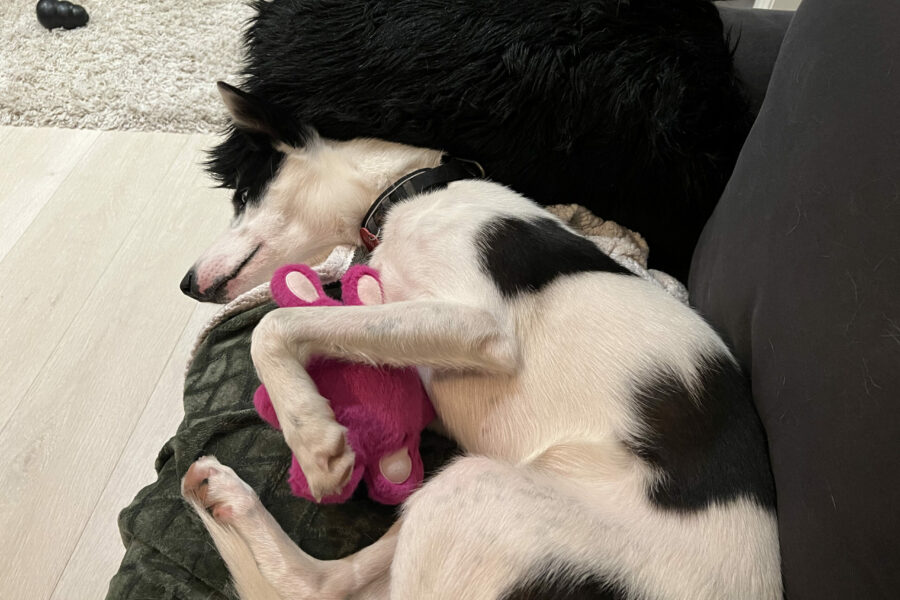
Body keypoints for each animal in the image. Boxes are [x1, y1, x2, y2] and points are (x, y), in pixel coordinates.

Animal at [183, 84, 780, 600]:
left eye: (242, 193)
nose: (186, 284)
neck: (412, 191)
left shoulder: (478, 327)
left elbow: (275, 325)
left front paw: (312, 436)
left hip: (472, 493)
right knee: (325, 583)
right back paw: (227, 499)